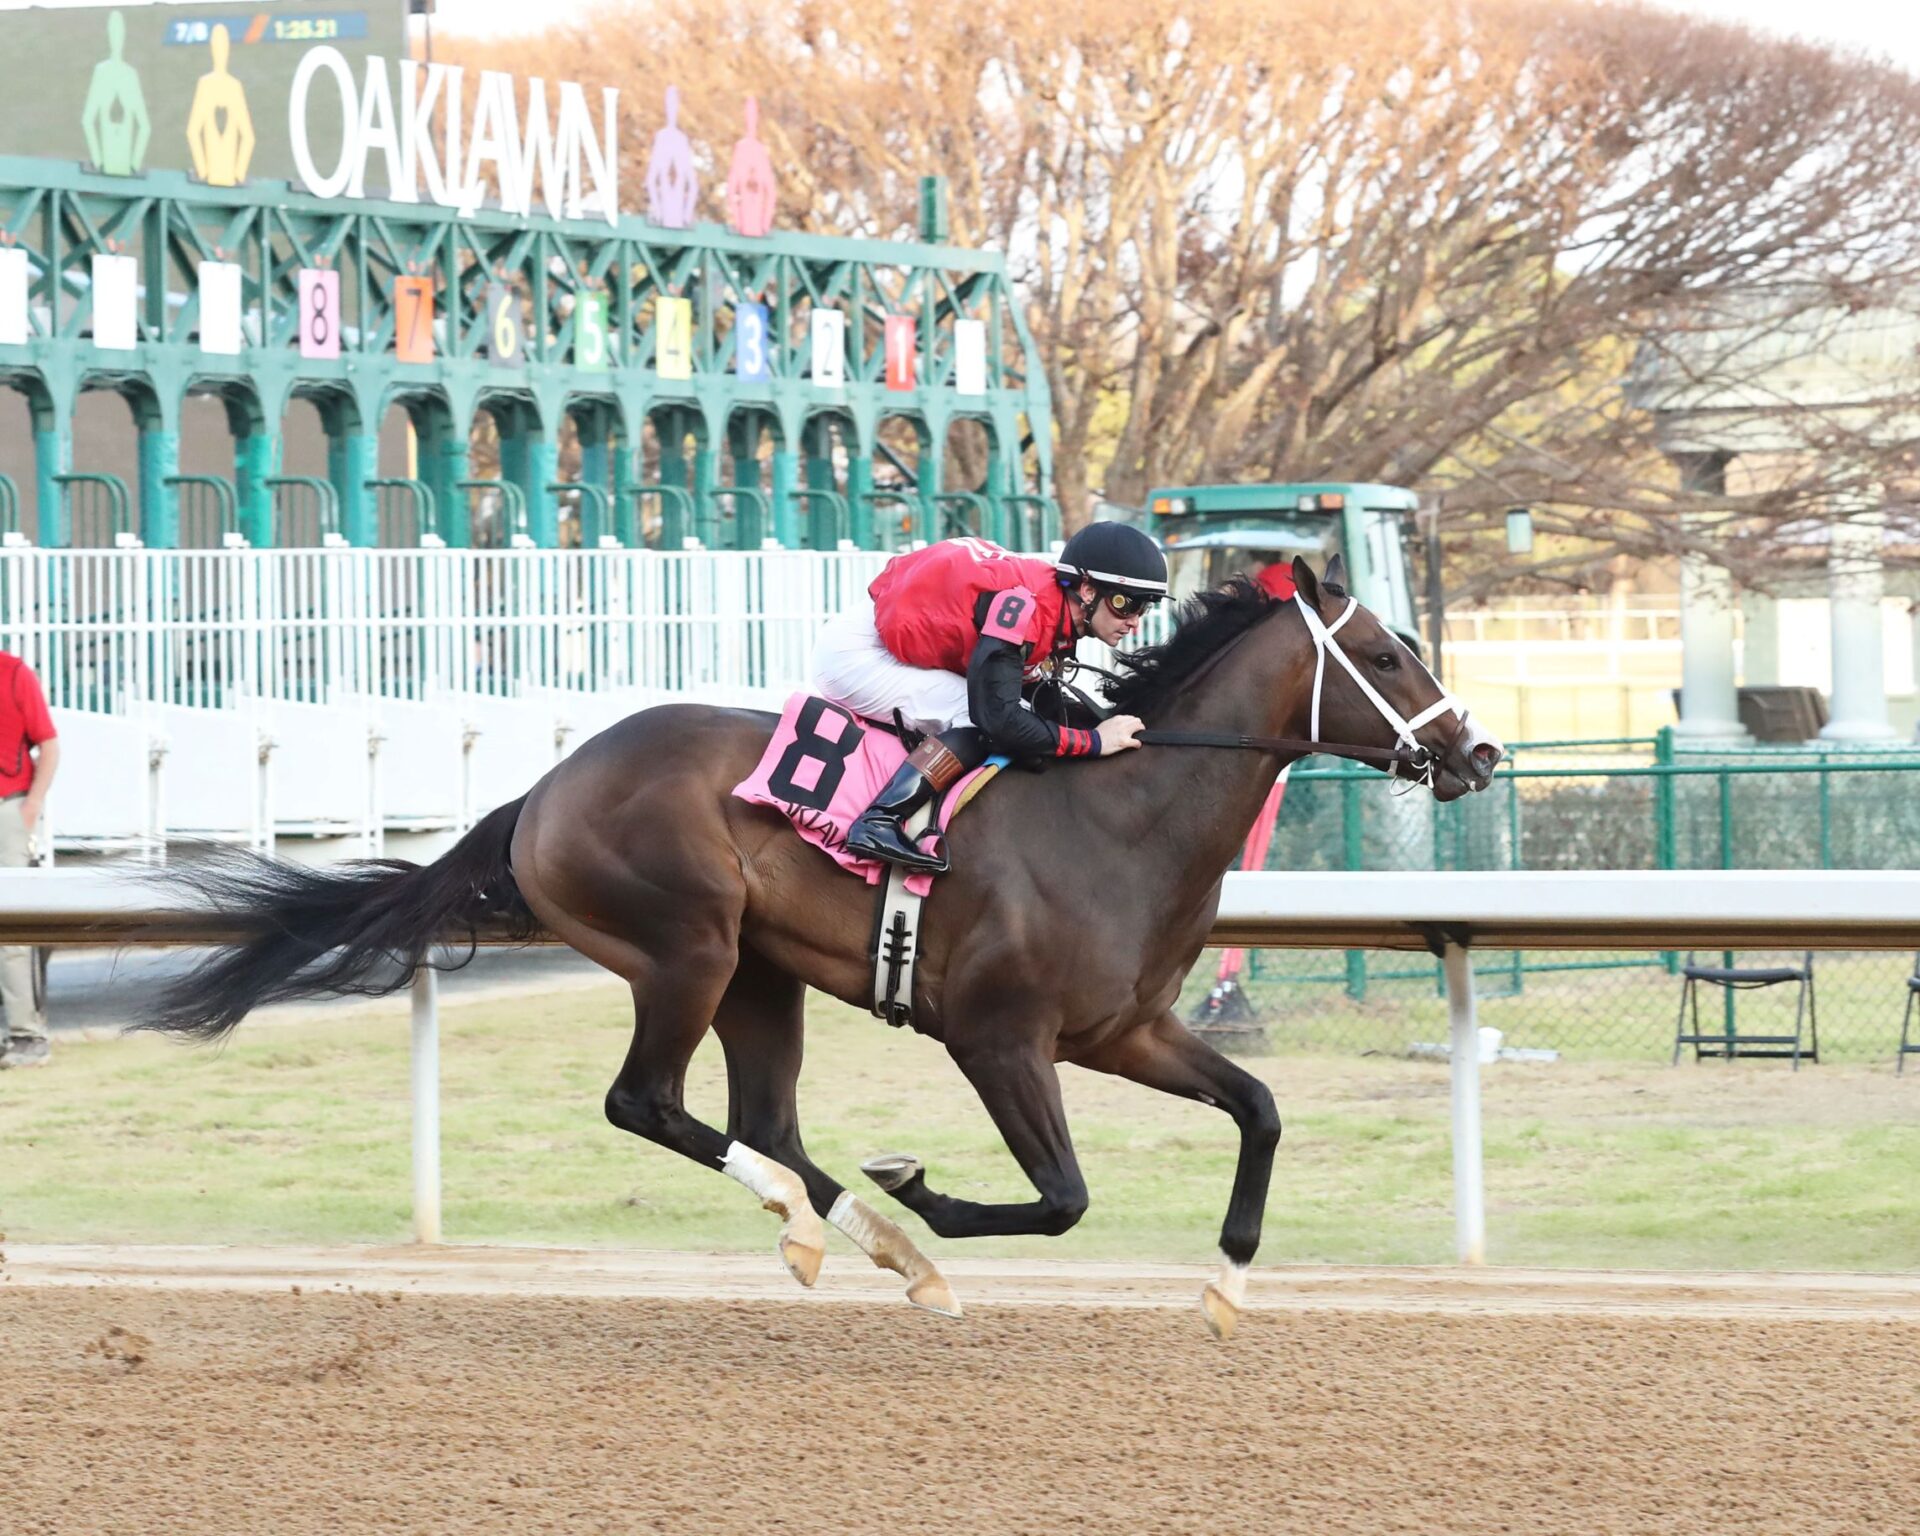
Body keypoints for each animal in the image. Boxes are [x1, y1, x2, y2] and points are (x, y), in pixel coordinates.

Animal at [140, 554, 1502, 1338]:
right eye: (1385, 655)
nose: (1478, 752)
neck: (1119, 814)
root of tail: (541, 793)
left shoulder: (1128, 1030)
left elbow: (1261, 1109)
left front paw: (1226, 1287)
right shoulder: (998, 1038)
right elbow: (1061, 1197)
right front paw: (927, 1188)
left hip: (761, 974)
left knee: (767, 1122)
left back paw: (880, 1247)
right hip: (685, 947)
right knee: (650, 1104)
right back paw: (824, 1226)